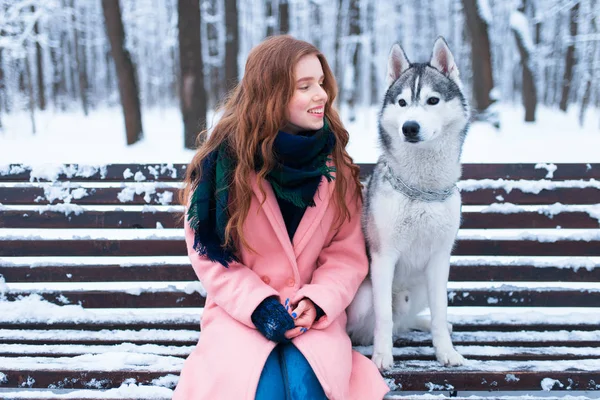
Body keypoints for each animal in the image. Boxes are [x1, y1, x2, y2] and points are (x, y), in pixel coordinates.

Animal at [346, 37, 468, 368]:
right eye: (401, 103)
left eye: (433, 100)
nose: (409, 127)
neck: (421, 190)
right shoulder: (383, 257)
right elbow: (384, 319)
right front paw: (382, 356)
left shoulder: (440, 260)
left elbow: (440, 311)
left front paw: (446, 351)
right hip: (364, 294)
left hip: (422, 287)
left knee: (410, 319)